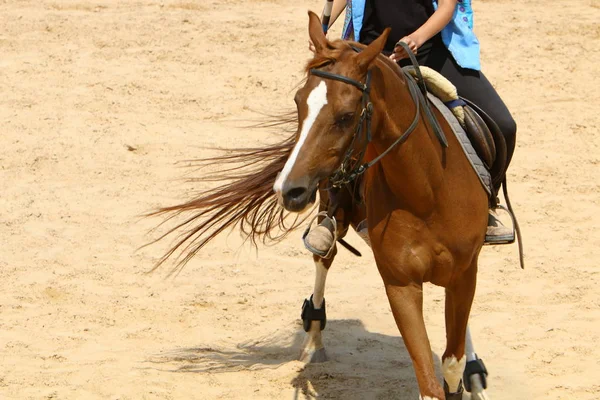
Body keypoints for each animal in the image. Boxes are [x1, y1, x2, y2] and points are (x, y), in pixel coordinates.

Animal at [151, 11, 496, 400]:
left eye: (346, 116)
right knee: (324, 257)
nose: (288, 189)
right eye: (298, 103)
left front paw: (467, 377)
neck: (427, 192)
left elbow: (452, 360)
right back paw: (314, 342)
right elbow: (428, 379)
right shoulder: (401, 284)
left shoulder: (464, 273)